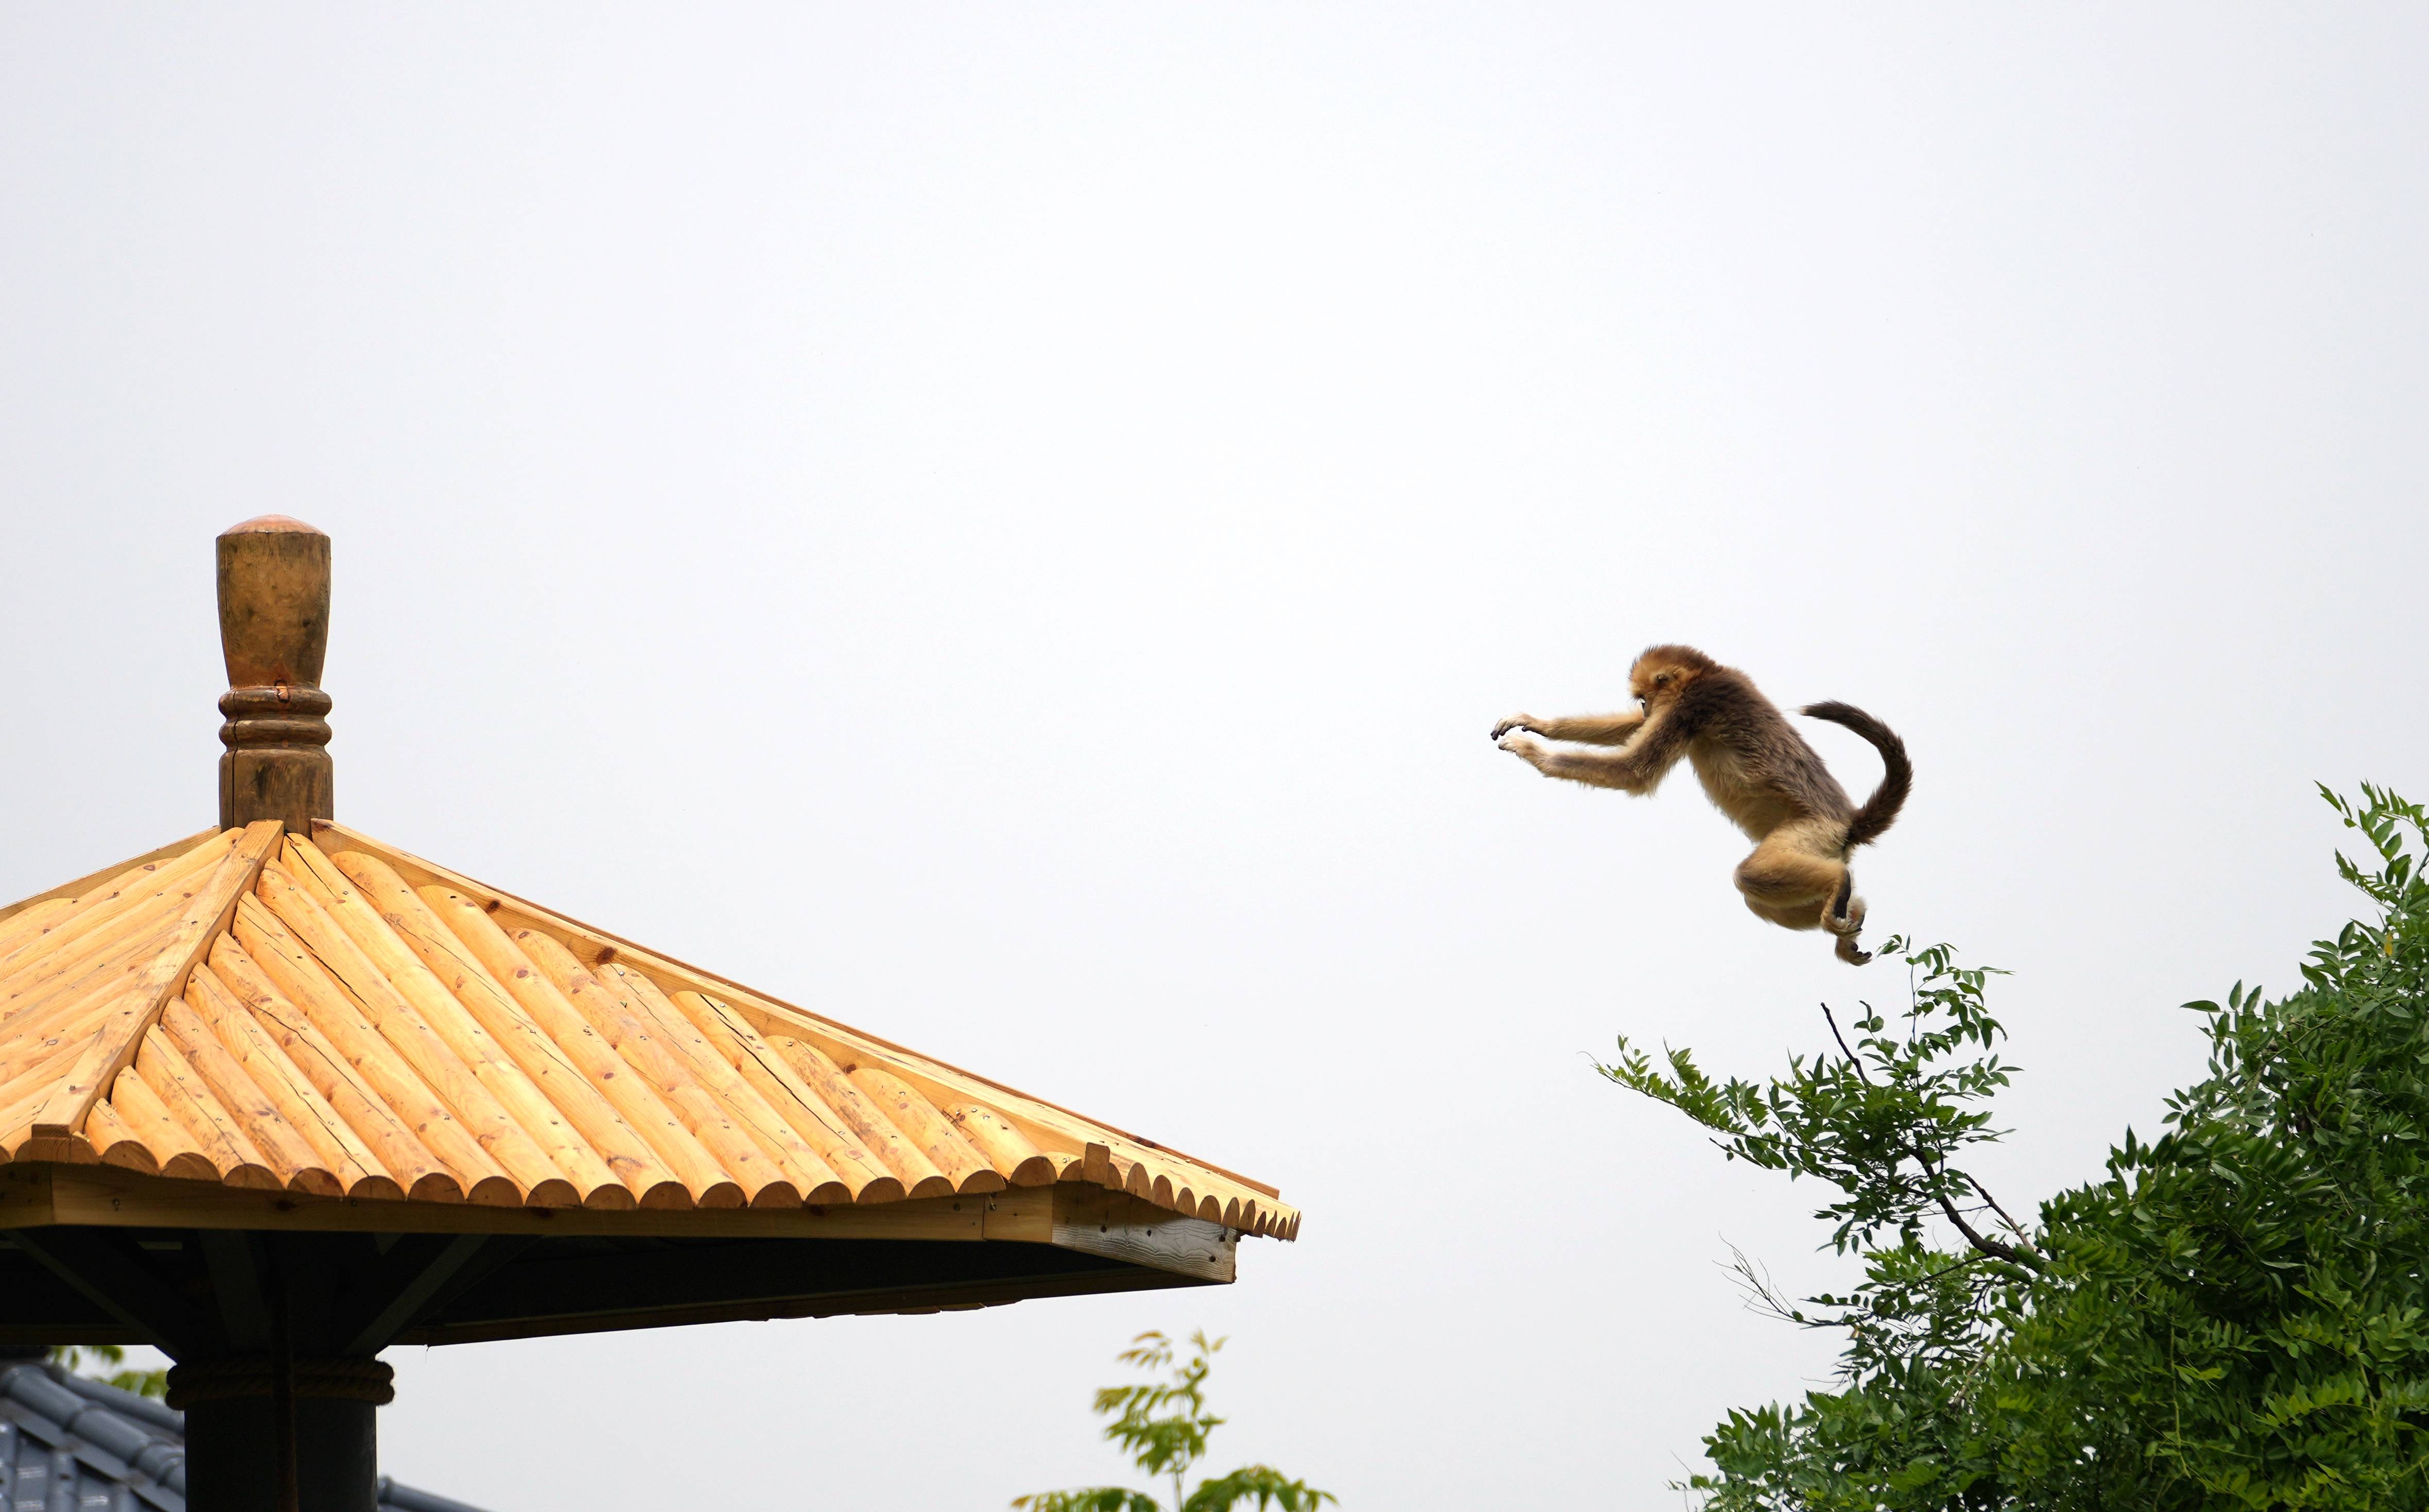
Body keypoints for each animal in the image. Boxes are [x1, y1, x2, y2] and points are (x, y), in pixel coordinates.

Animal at [1486, 645, 1904, 966]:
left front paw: (1532, 752)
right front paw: (1539, 724)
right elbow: (1631, 735)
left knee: (1750, 878)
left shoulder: (1690, 706)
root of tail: (1849, 822)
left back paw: (1839, 884)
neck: (1708, 674)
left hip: (1813, 832)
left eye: (1645, 698)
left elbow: (1633, 771)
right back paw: (1853, 912)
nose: (1645, 710)